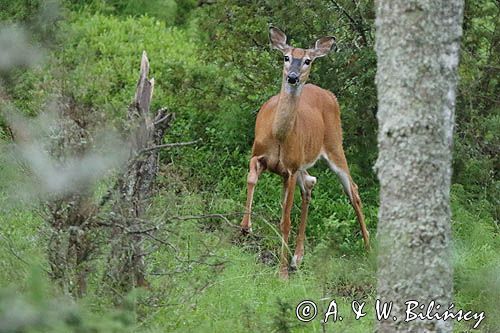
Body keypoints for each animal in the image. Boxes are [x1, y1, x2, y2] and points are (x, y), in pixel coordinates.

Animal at [240, 26, 370, 278]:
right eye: (286, 57)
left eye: (308, 60)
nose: (292, 76)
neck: (279, 136)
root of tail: (329, 95)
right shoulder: (259, 155)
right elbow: (251, 178)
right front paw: (245, 227)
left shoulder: (289, 169)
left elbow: (285, 221)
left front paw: (281, 273)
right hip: (303, 163)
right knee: (310, 184)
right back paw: (296, 258)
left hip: (334, 144)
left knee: (353, 190)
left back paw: (369, 249)